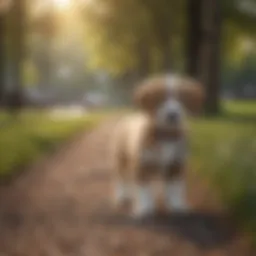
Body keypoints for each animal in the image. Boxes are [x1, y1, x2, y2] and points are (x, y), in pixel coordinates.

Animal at [111, 73, 205, 218]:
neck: (166, 136)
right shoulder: (142, 165)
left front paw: (178, 205)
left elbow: (176, 188)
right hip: (122, 159)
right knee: (122, 178)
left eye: (182, 97)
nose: (172, 114)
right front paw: (144, 209)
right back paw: (123, 196)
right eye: (160, 97)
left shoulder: (176, 164)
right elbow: (143, 189)